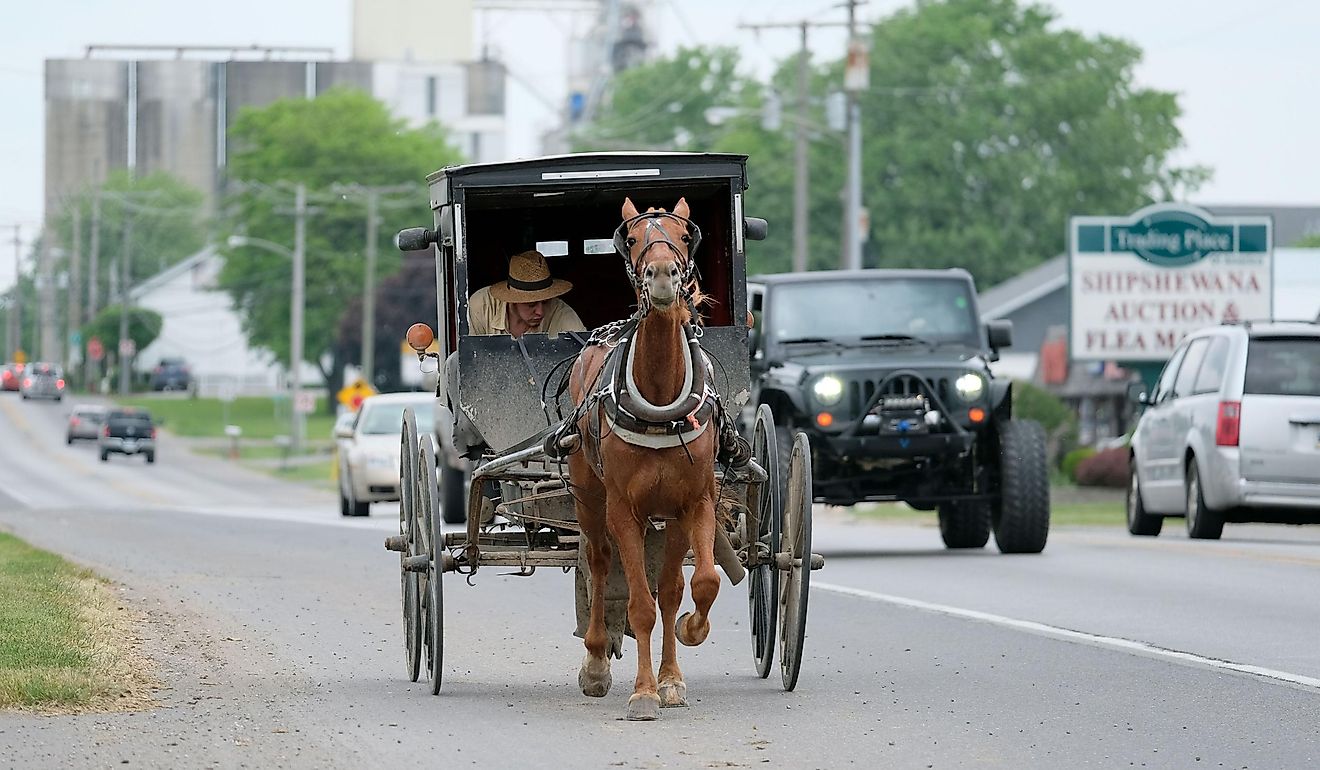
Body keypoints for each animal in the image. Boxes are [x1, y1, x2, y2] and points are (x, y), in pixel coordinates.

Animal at [562, 195, 718, 718]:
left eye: (684, 235)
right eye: (631, 239)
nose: (663, 275)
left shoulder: (693, 504)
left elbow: (690, 587)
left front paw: (679, 662)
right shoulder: (625, 510)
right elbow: (641, 606)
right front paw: (644, 691)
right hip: (590, 496)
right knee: (597, 560)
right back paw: (595, 662)